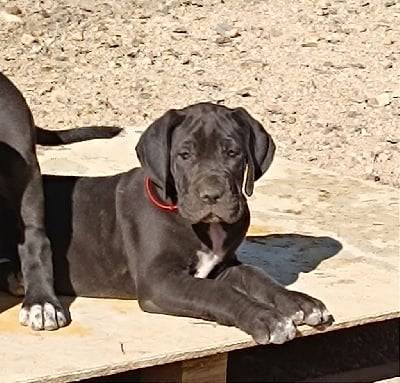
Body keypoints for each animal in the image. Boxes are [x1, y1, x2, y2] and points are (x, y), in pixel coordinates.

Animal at [2, 103, 334, 344]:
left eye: (233, 153)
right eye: (184, 155)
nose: (212, 195)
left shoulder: (222, 265)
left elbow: (256, 275)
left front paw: (299, 302)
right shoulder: (158, 280)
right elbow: (217, 293)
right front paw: (266, 318)